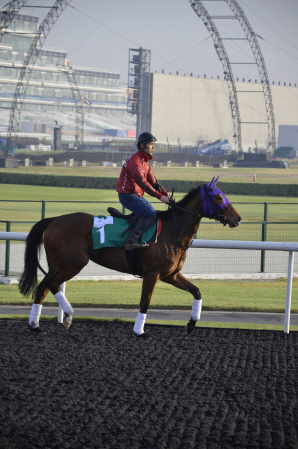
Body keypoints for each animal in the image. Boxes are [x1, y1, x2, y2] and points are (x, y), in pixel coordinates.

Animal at [19, 175, 242, 336]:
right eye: (218, 197)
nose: (238, 218)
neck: (172, 231)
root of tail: (54, 219)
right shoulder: (152, 273)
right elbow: (145, 302)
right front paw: (139, 330)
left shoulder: (171, 275)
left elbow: (196, 291)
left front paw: (191, 324)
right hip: (72, 264)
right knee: (50, 284)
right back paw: (68, 315)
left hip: (58, 264)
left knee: (43, 287)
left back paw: (35, 324)